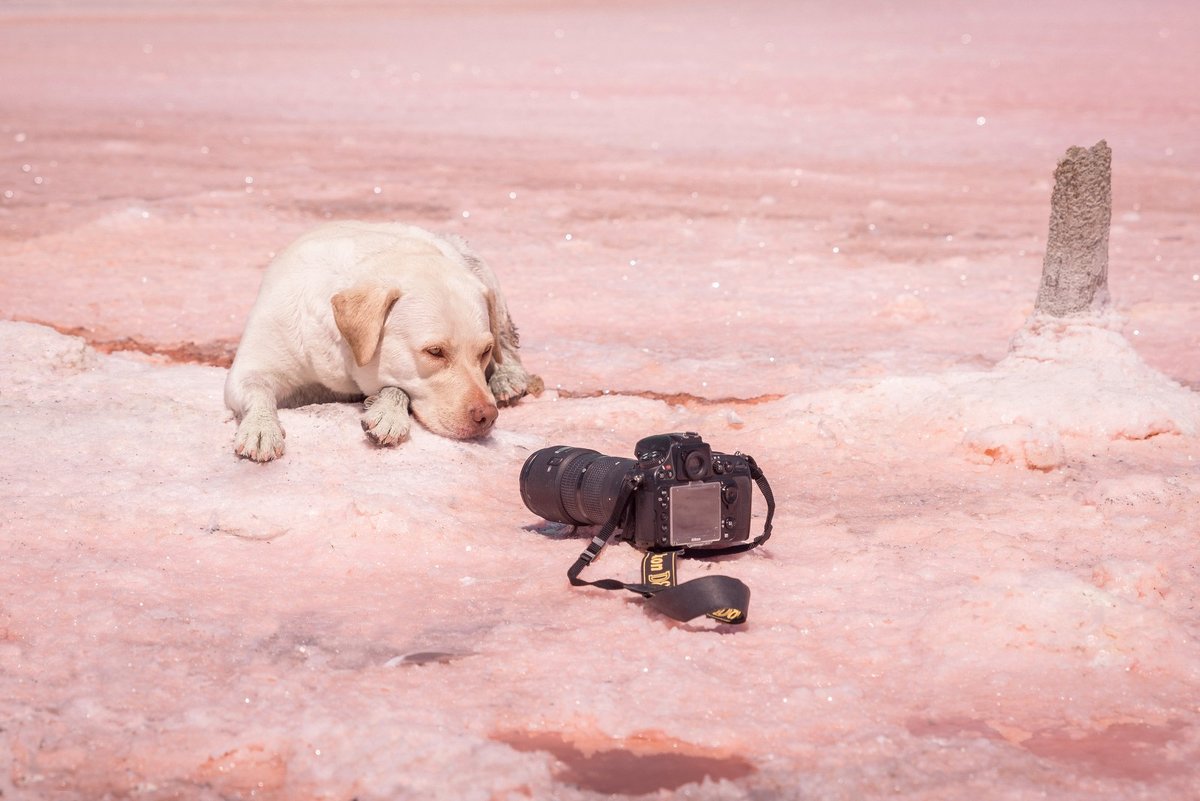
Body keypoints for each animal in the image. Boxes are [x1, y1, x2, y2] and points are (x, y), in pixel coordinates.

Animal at [224, 220, 540, 462]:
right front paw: (261, 428)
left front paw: (387, 412)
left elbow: (395, 387)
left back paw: (508, 377)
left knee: (506, 335)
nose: (488, 416)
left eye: (484, 351)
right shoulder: (253, 365)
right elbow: (257, 390)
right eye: (435, 351)